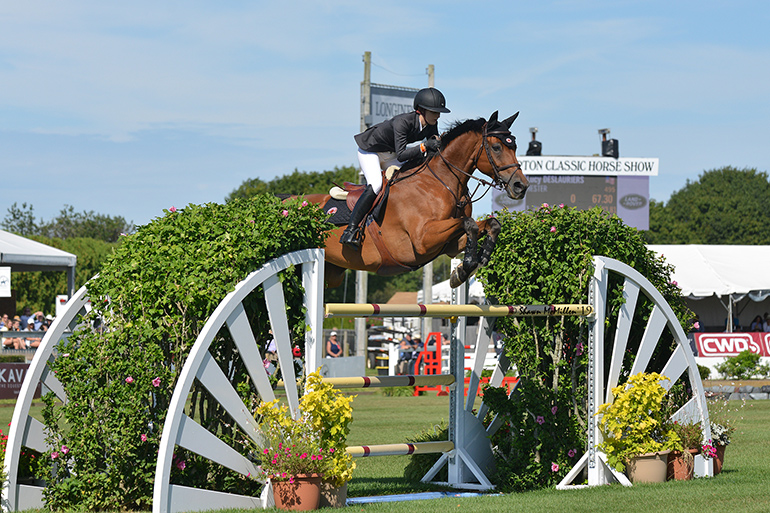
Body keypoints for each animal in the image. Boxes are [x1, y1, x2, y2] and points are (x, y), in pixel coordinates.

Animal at [304, 111, 528, 289]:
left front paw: (474, 263)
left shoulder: (450, 244)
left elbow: (491, 224)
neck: (443, 182)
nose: (521, 186)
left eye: (515, 146)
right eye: (497, 147)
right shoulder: (423, 240)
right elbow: (469, 223)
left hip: (332, 272)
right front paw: (466, 267)